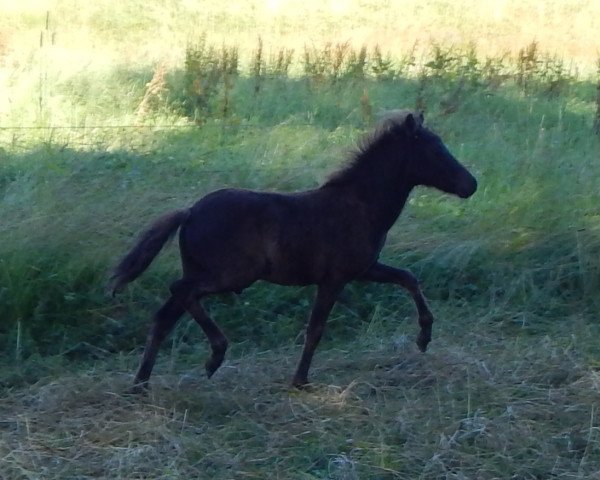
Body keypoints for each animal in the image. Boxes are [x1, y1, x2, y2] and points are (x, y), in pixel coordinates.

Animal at [110, 110, 478, 392]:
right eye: (434, 150)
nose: (471, 185)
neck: (360, 205)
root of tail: (189, 212)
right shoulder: (334, 279)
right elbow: (315, 330)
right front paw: (300, 381)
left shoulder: (365, 269)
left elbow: (408, 278)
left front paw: (424, 338)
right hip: (229, 276)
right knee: (180, 292)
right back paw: (214, 356)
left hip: (207, 273)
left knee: (165, 316)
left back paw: (141, 384)